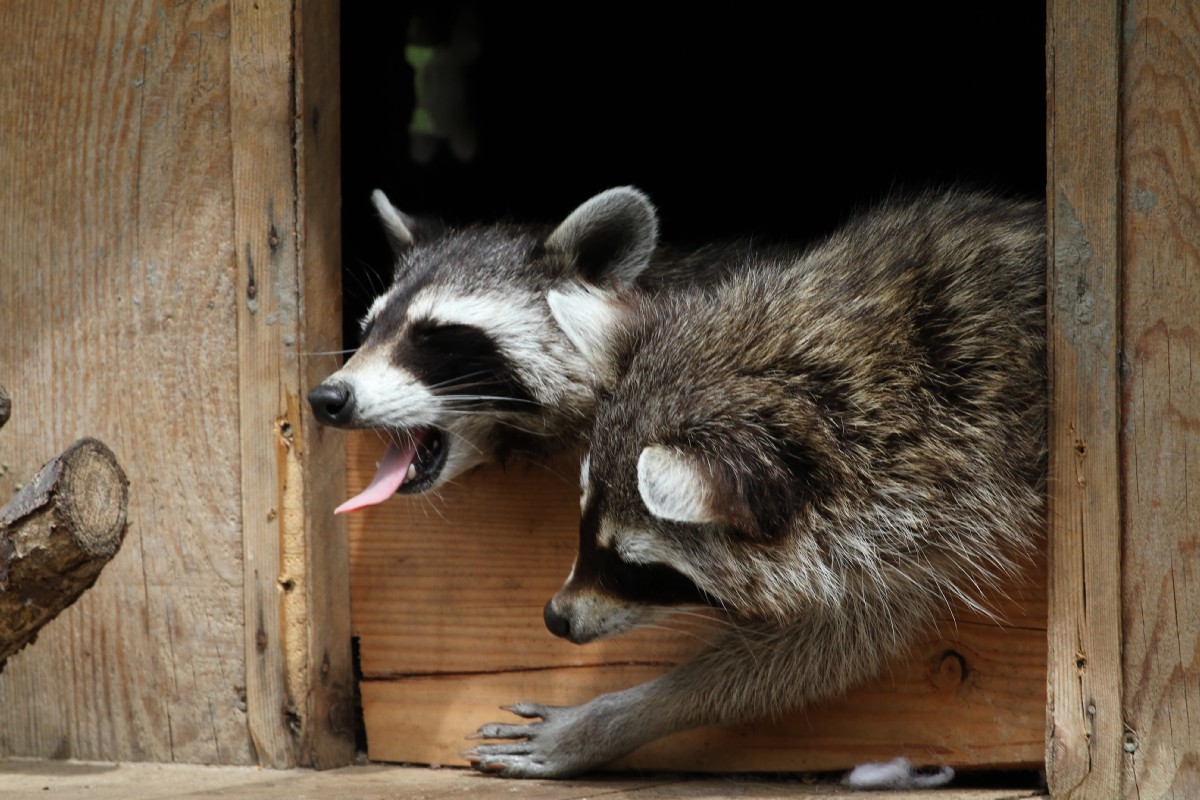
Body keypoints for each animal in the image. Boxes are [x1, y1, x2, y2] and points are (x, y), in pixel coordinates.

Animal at [463, 185, 1046, 777]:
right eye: (581, 524)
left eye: (633, 568)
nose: (555, 618)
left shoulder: (937, 494)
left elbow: (835, 642)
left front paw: (627, 714)